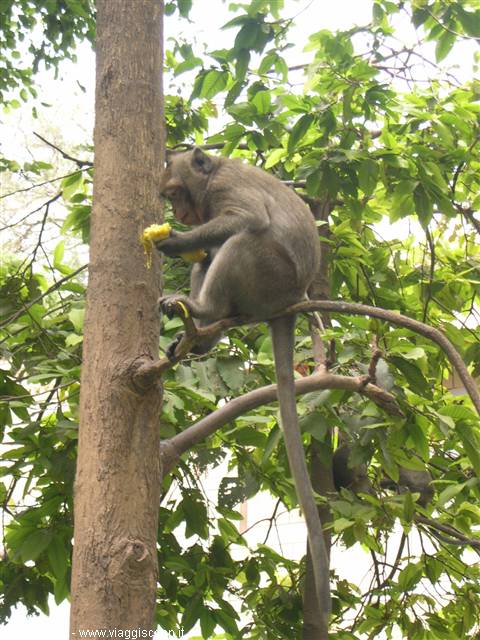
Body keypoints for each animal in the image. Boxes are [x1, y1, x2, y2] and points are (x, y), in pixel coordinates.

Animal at [155, 147, 330, 623]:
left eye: (175, 193)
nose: (179, 214)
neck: (211, 175)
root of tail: (292, 303)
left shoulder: (224, 190)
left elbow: (246, 218)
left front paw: (175, 241)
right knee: (211, 256)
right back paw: (201, 333)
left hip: (270, 277)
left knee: (244, 240)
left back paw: (204, 309)